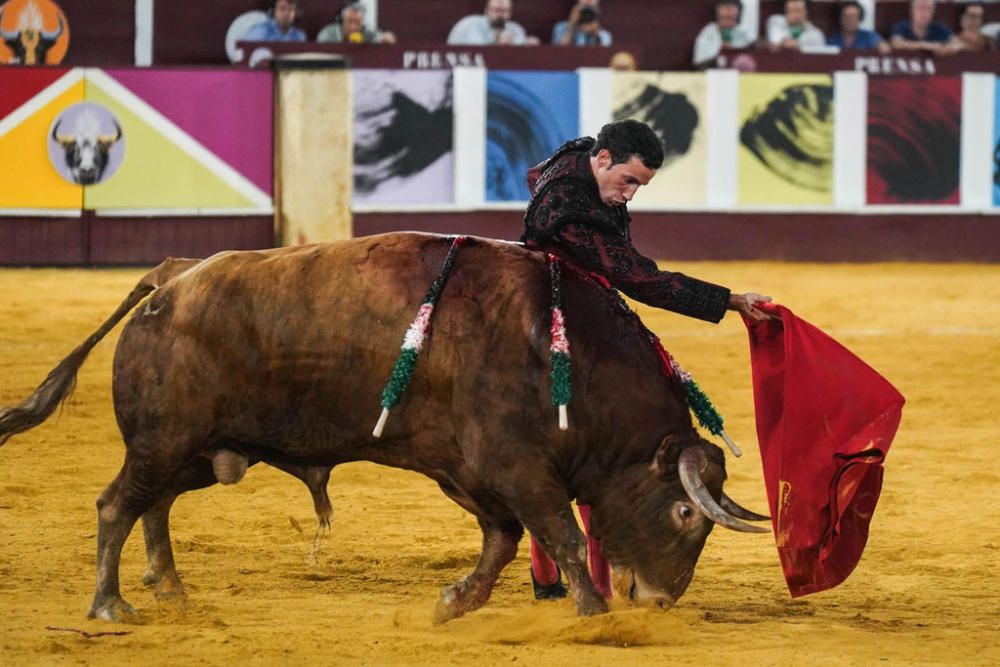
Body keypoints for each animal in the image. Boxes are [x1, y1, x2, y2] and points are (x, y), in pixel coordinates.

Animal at [0, 232, 764, 624]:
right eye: (685, 514)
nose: (659, 599)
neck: (560, 346)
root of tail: (172, 276)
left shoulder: (472, 469)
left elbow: (503, 539)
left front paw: (456, 601)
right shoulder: (517, 466)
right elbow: (564, 538)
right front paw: (593, 613)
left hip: (197, 449)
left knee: (153, 504)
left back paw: (171, 587)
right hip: (162, 440)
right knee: (117, 505)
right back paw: (111, 603)